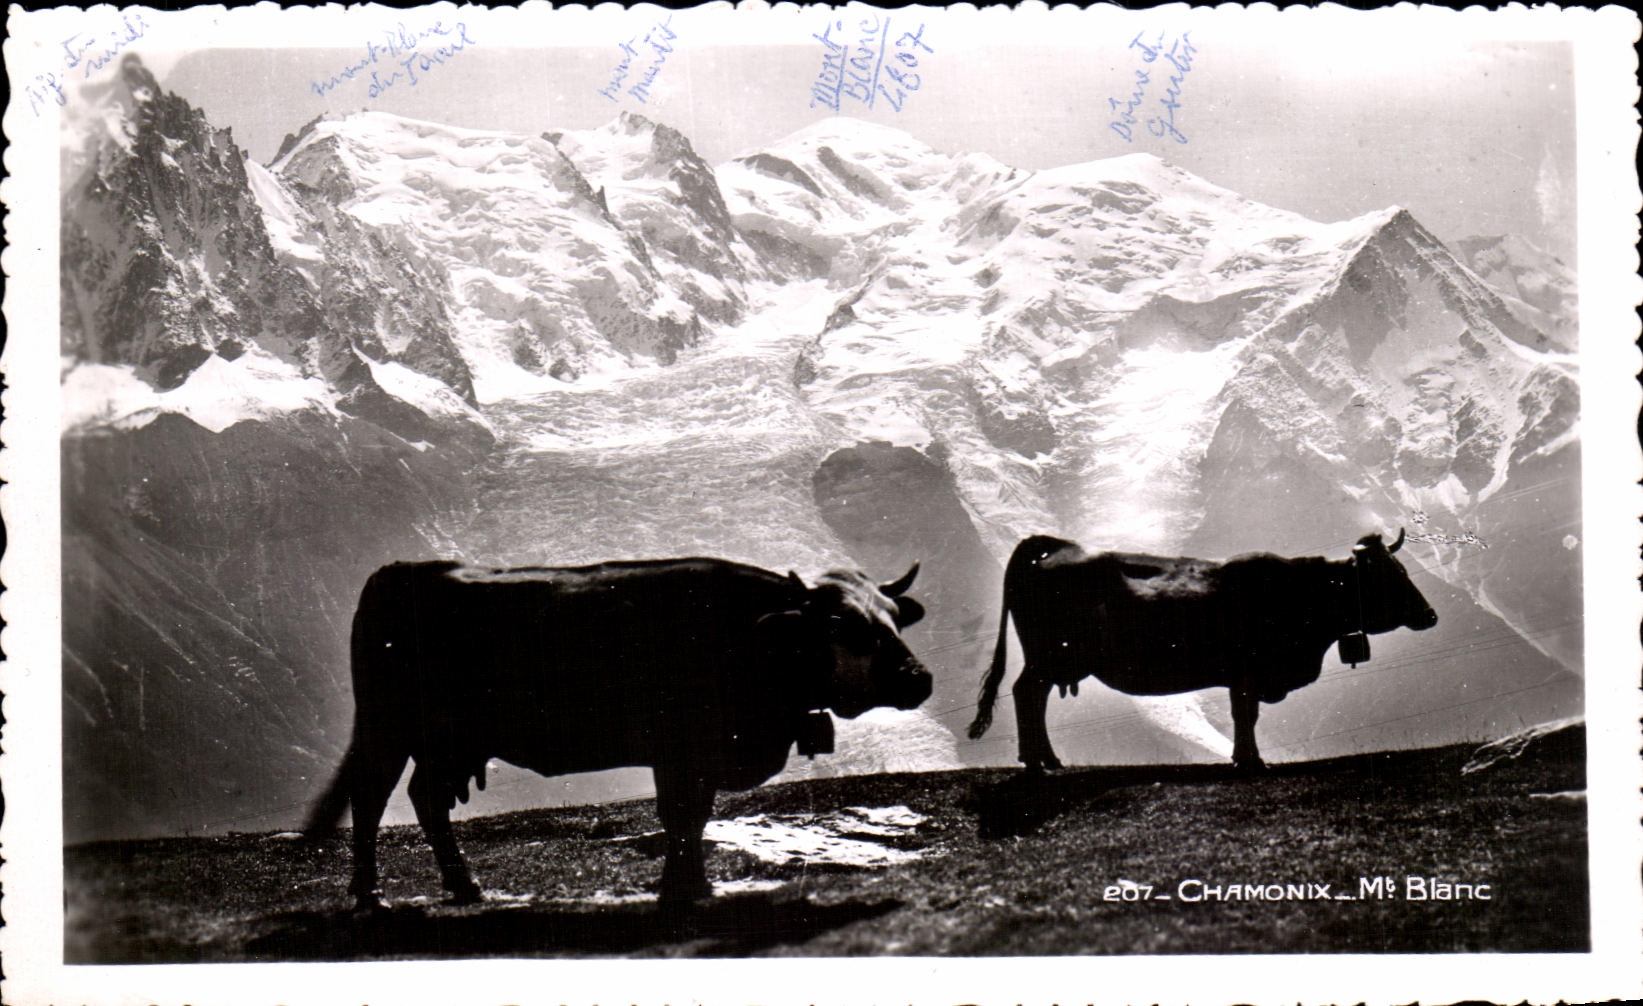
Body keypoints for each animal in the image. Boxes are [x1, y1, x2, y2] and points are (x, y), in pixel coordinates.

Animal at [306, 557, 932, 910]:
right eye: (844, 625)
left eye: (894, 618)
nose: (919, 678)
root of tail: (401, 571)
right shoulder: (681, 748)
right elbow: (680, 816)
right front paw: (682, 887)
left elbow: (693, 817)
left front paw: (691, 884)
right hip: (388, 727)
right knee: (371, 798)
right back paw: (370, 893)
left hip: (451, 742)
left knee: (426, 799)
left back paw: (464, 886)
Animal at [966, 531, 1438, 773]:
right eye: (1392, 574)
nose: (1431, 615)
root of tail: (1056, 545)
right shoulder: (1247, 671)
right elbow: (1244, 714)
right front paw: (1251, 762)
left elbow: (1245, 715)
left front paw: (1244, 758)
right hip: (1048, 658)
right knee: (1027, 694)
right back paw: (1036, 760)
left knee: (1035, 698)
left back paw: (1047, 758)